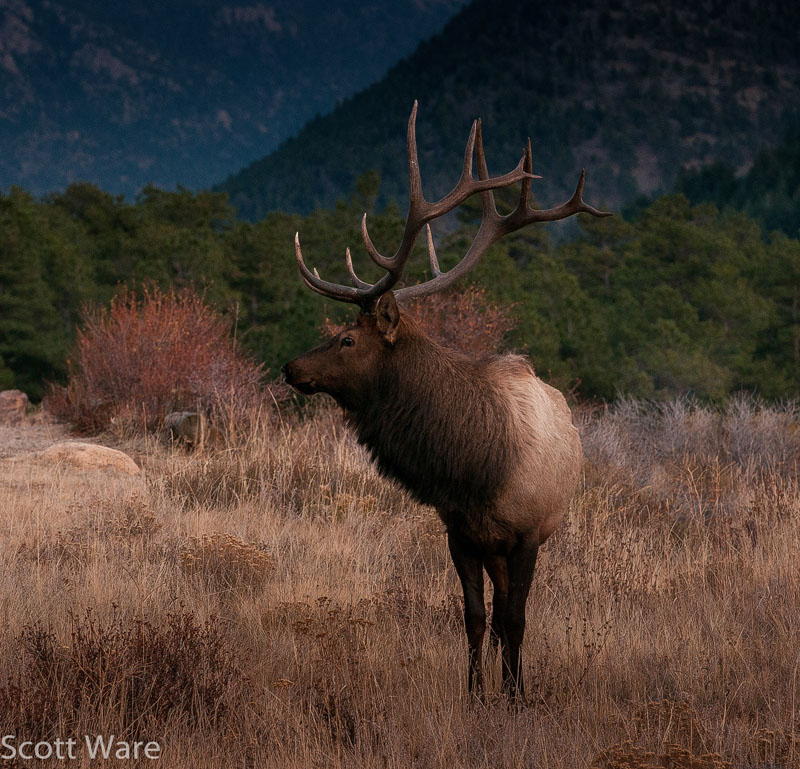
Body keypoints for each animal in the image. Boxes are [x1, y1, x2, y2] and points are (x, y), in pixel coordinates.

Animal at [281, 102, 610, 699]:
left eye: (348, 339)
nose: (291, 368)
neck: (476, 468)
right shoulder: (459, 533)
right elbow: (475, 617)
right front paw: (476, 693)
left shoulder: (526, 536)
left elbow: (516, 618)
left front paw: (515, 695)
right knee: (495, 613)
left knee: (511, 613)